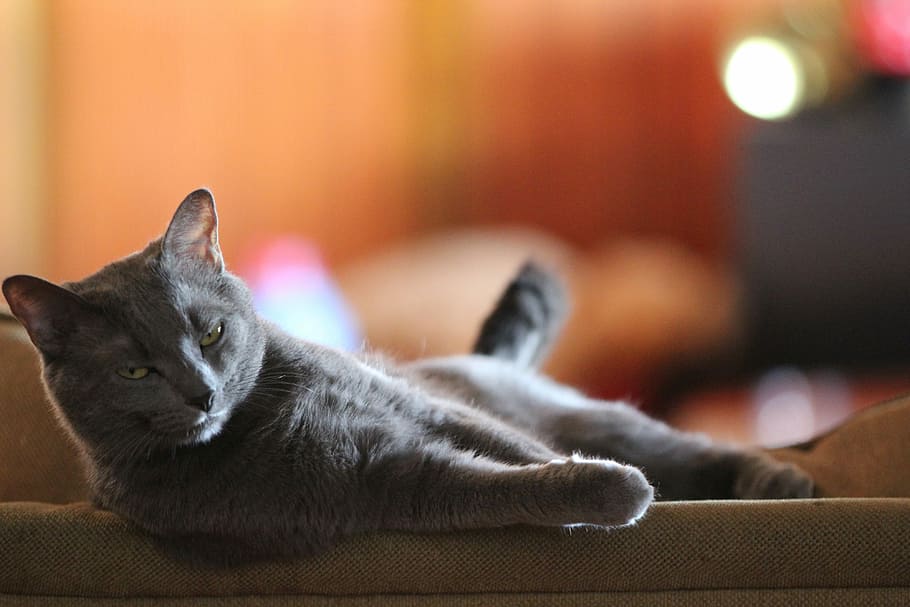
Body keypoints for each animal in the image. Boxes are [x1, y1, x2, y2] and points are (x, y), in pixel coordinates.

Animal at [0, 190, 812, 564]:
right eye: (136, 367)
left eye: (210, 332)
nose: (202, 391)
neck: (267, 416)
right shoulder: (381, 480)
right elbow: (495, 487)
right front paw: (616, 495)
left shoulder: (420, 409)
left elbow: (521, 452)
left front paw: (623, 489)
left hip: (594, 415)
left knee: (688, 446)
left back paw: (781, 482)